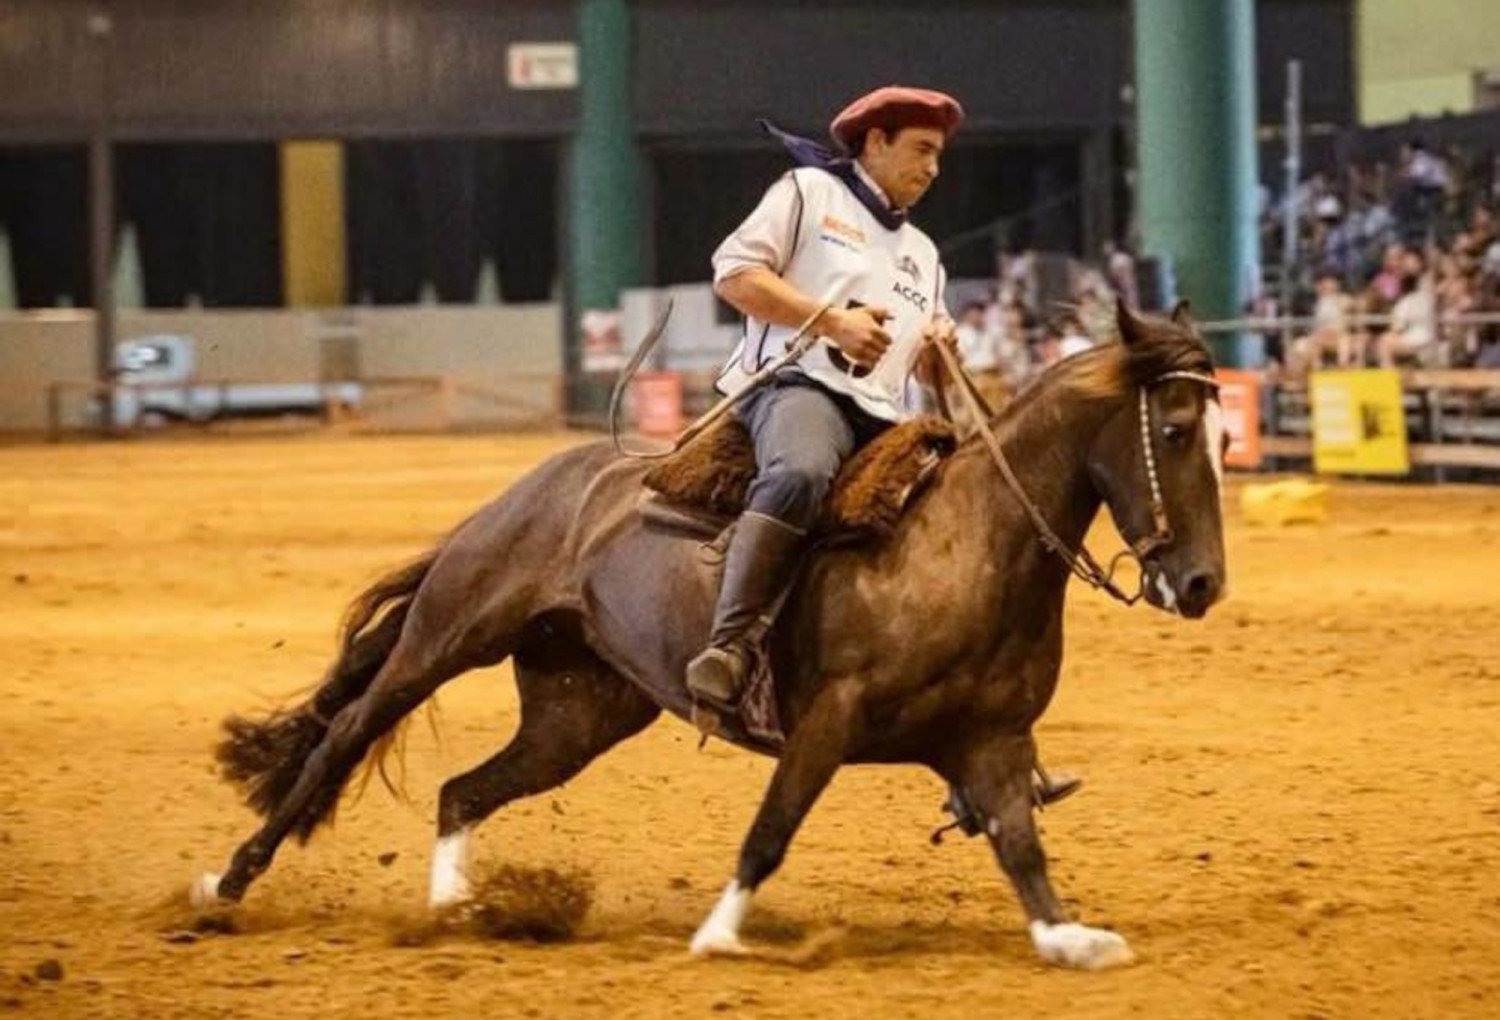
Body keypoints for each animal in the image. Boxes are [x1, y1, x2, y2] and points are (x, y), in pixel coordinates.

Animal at [196, 301, 1230, 972]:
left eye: (1223, 436)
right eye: (1176, 429)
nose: (1202, 584)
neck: (968, 544)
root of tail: (535, 488)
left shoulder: (991, 740)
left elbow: (1021, 846)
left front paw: (1068, 936)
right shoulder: (828, 721)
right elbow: (771, 830)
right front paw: (719, 934)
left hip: (577, 716)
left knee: (463, 791)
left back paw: (458, 912)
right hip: (444, 640)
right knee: (340, 739)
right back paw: (227, 886)